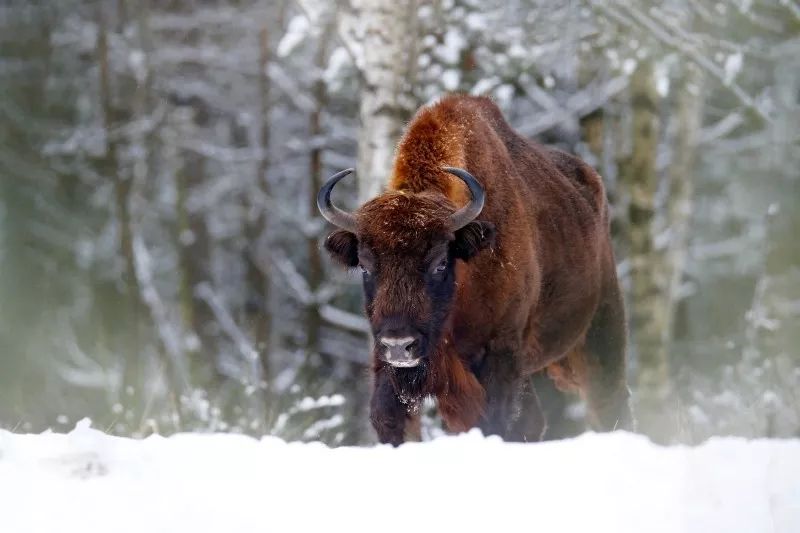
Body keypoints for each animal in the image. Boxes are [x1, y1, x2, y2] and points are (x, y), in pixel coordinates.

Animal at [318, 93, 632, 442]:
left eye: (440, 262)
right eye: (365, 266)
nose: (399, 345)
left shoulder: (499, 354)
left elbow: (495, 422)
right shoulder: (386, 360)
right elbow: (386, 415)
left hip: (600, 331)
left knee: (609, 402)